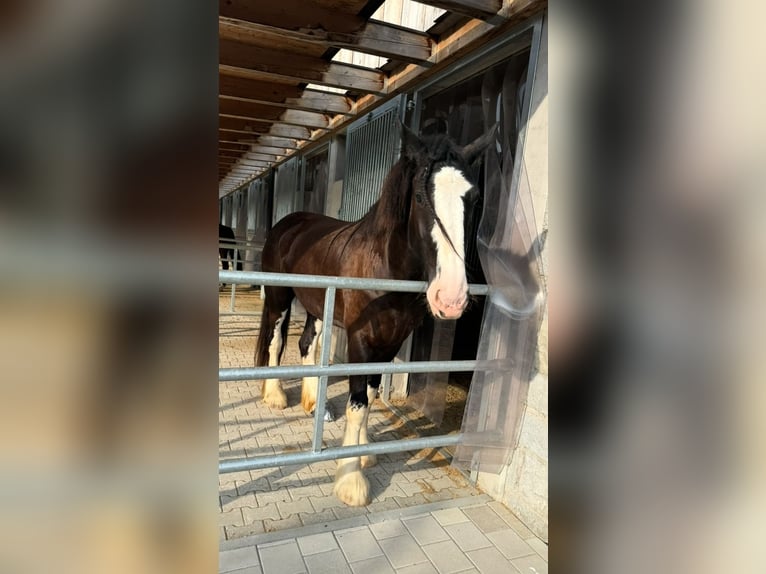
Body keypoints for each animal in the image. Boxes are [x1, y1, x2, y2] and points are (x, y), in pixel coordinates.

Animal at [254, 125, 496, 507]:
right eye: (421, 197)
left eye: (472, 198)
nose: (451, 298)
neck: (383, 269)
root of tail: (290, 223)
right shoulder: (360, 342)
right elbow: (357, 404)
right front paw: (351, 480)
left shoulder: (388, 343)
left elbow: (369, 396)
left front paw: (364, 453)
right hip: (280, 297)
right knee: (276, 341)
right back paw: (275, 396)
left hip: (316, 306)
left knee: (307, 345)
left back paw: (313, 402)